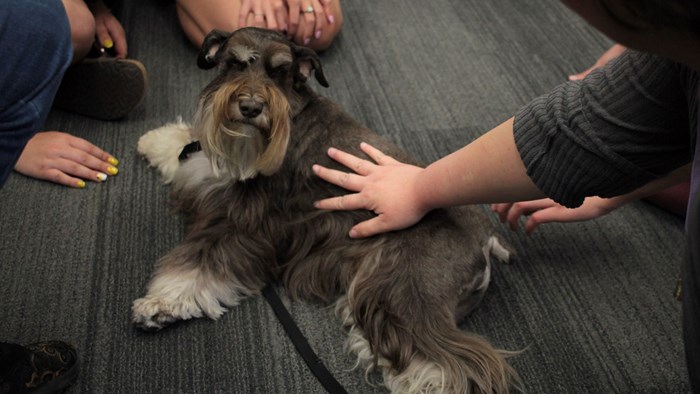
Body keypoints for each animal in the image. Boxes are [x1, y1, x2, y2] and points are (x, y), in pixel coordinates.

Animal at [134, 27, 524, 394]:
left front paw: (160, 304)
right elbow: (189, 147)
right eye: (234, 63)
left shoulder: (246, 226)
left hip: (403, 291)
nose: (251, 108)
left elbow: (200, 265)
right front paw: (156, 140)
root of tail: (486, 238)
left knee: (455, 363)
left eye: (281, 72)